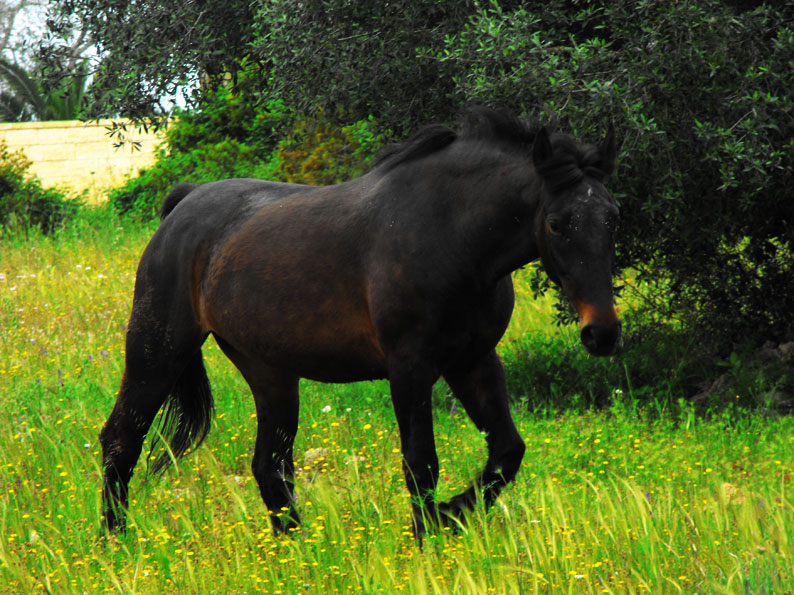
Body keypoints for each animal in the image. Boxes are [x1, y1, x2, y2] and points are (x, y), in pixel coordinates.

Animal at [99, 108, 621, 540]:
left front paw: (451, 515)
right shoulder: (410, 368)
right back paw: (116, 544)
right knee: (121, 440)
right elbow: (421, 464)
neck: (449, 235)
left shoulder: (474, 360)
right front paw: (429, 533)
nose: (603, 334)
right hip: (157, 352)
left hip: (270, 372)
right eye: (556, 223)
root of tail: (184, 206)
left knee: (270, 466)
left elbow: (507, 451)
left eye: (613, 216)